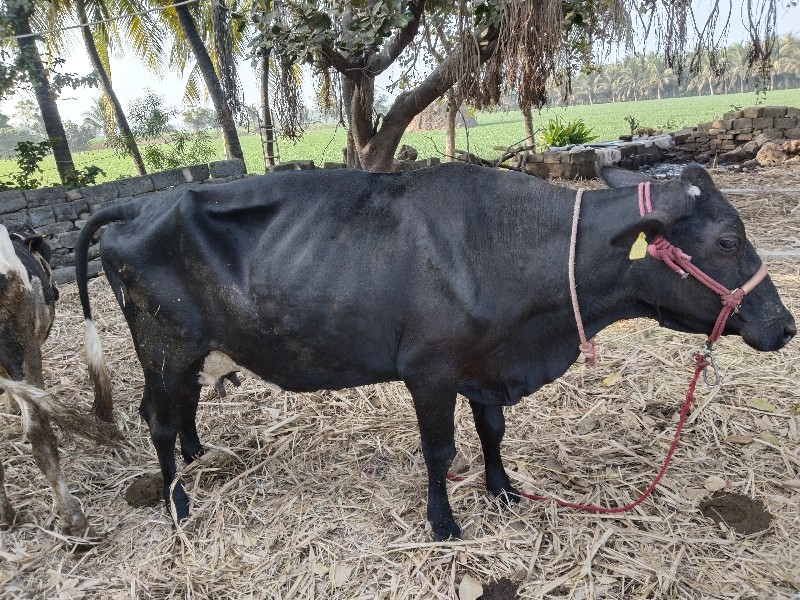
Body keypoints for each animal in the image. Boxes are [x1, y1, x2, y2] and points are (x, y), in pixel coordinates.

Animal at [73, 163, 792, 540]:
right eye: (728, 240)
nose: (785, 325)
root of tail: (143, 203)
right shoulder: (431, 371)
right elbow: (441, 451)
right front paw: (444, 524)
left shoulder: (485, 364)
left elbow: (493, 431)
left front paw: (504, 490)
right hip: (165, 344)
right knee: (158, 419)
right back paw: (178, 503)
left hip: (187, 351)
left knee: (183, 408)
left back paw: (200, 458)